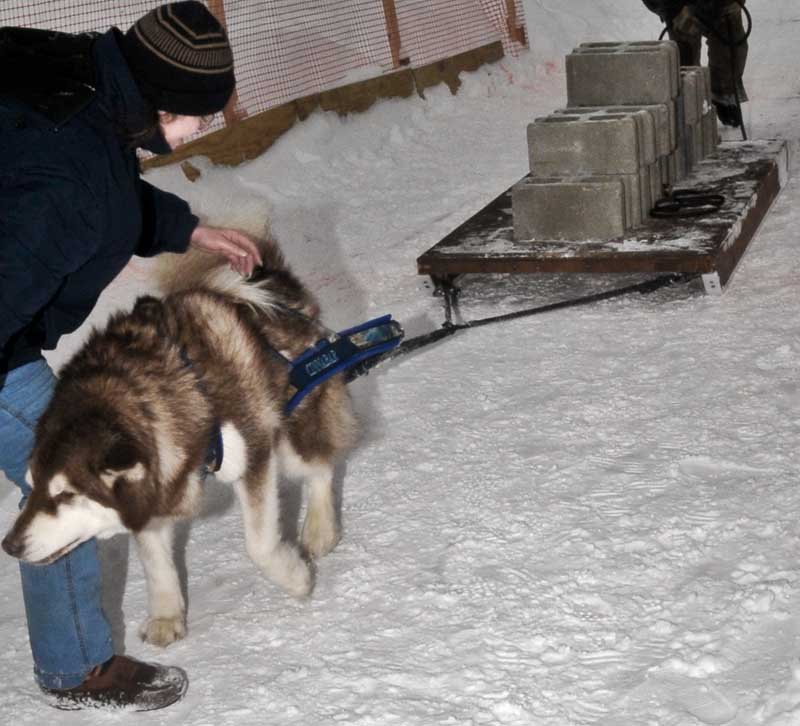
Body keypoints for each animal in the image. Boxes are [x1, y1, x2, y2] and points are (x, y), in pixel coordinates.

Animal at [0, 237, 356, 648]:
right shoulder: (155, 491)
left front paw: (296, 578)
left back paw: (320, 529)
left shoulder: (252, 455)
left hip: (289, 431)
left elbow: (259, 545)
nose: (9, 546)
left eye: (66, 494)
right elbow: (156, 563)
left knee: (321, 466)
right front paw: (166, 616)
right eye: (32, 485)